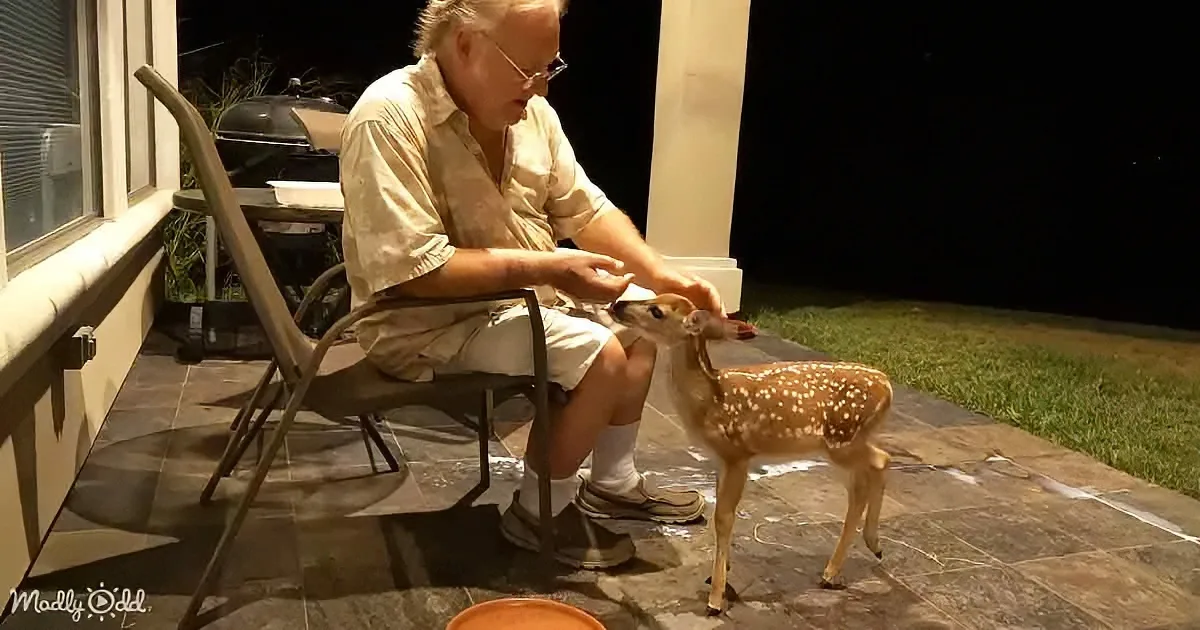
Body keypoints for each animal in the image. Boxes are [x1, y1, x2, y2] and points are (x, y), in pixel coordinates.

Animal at [609, 294, 893, 616]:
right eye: (654, 296)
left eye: (657, 311)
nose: (618, 305)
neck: (709, 401)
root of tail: (888, 386)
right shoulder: (719, 459)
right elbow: (721, 512)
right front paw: (720, 576)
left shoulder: (737, 454)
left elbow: (723, 517)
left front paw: (716, 598)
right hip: (845, 444)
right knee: (864, 482)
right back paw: (856, 557)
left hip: (842, 440)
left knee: (880, 462)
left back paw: (846, 562)